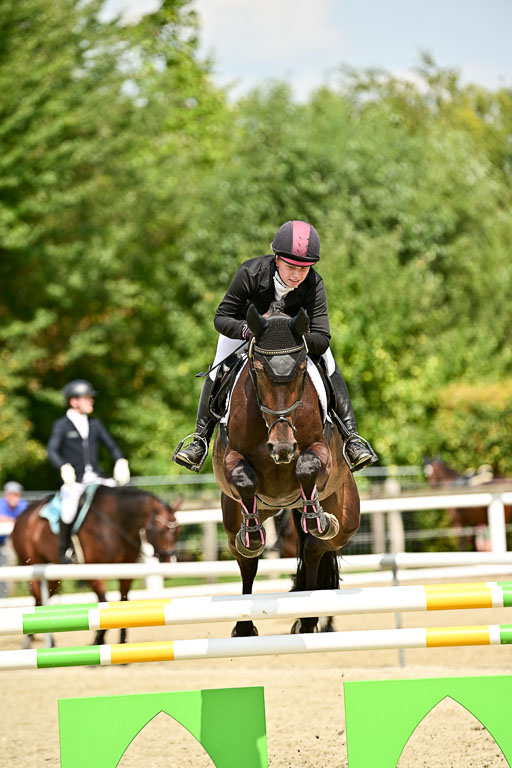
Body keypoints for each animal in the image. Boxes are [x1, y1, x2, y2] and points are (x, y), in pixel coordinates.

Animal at [11, 485, 181, 646]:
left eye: (178, 530)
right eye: (159, 530)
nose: (170, 562)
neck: (115, 523)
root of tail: (22, 516)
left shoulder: (126, 572)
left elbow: (123, 604)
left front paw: (122, 643)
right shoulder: (95, 572)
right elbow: (104, 604)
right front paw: (98, 641)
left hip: (53, 576)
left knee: (41, 600)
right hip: (34, 565)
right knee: (39, 598)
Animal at [212, 303, 360, 636]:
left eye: (302, 370)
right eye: (257, 370)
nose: (282, 449)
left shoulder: (320, 451)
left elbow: (307, 467)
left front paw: (316, 515)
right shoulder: (231, 459)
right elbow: (244, 477)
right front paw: (253, 533)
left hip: (348, 519)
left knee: (315, 547)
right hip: (232, 519)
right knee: (247, 561)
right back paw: (246, 624)